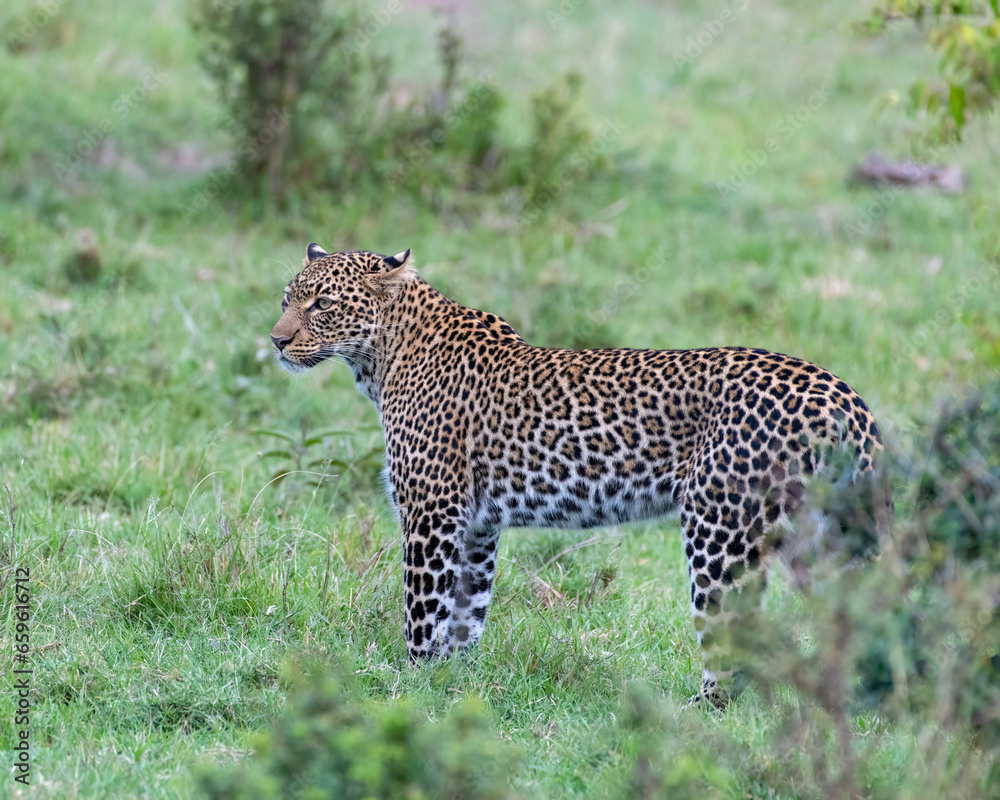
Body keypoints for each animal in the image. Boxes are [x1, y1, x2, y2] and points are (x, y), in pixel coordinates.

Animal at [270, 244, 890, 707]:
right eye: (286, 298)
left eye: (322, 303)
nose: (276, 340)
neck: (381, 358)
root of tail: (843, 395)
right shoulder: (476, 526)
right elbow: (467, 612)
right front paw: (452, 686)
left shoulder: (432, 514)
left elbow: (423, 612)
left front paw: (411, 686)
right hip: (817, 538)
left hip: (720, 530)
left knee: (733, 636)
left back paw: (696, 713)